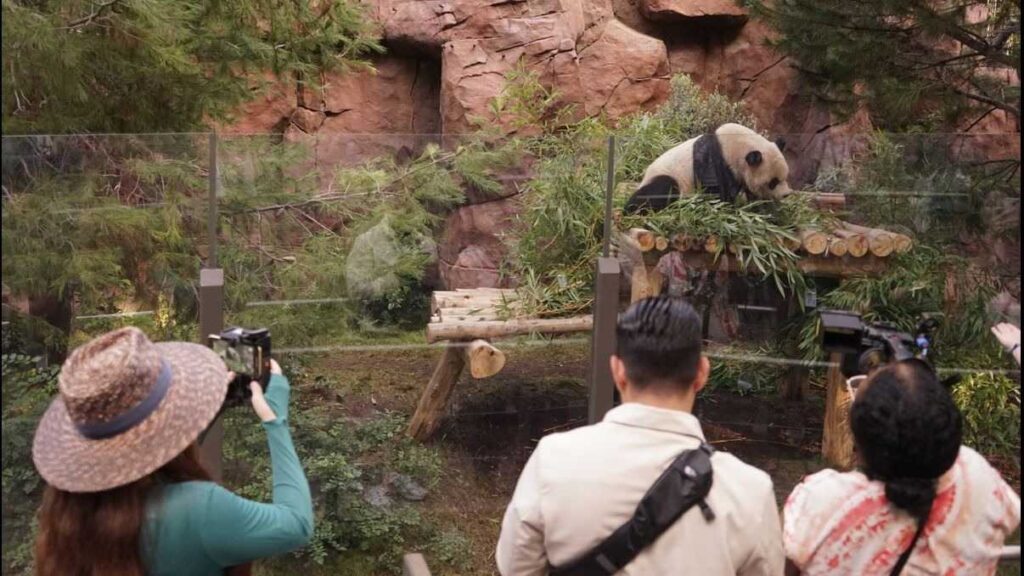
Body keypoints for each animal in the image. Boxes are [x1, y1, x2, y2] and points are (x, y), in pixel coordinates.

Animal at [622, 121, 790, 213]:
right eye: (773, 182)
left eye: (785, 177)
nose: (786, 194)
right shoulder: (714, 159)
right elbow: (714, 190)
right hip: (668, 175)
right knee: (660, 190)